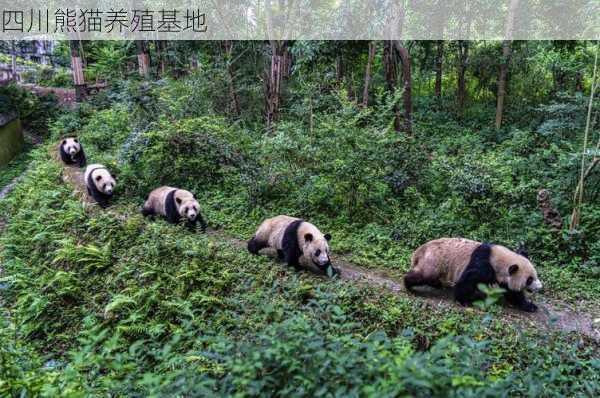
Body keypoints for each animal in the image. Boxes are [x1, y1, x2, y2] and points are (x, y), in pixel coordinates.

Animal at [404, 238, 544, 312]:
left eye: (535, 275)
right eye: (529, 279)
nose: (540, 287)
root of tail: (419, 251)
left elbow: (512, 293)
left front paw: (529, 306)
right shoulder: (483, 264)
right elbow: (467, 280)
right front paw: (464, 301)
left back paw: (437, 284)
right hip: (435, 260)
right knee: (425, 274)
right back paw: (409, 284)